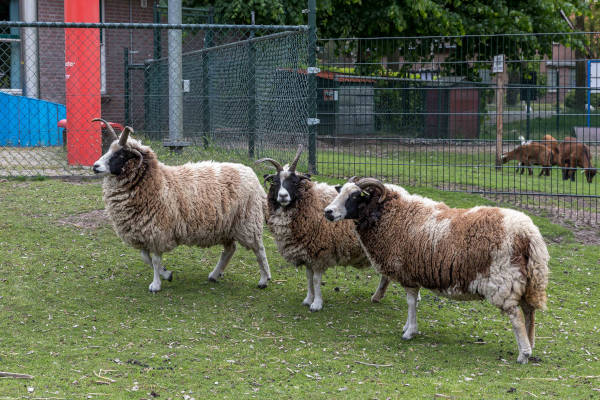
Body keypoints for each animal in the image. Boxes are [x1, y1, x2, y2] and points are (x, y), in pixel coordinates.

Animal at [90, 119, 270, 294]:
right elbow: (146, 259)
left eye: (120, 154)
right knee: (230, 249)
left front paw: (156, 284)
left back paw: (264, 279)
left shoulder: (158, 230)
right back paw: (214, 275)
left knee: (259, 249)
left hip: (248, 221)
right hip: (227, 226)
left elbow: (155, 260)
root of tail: (251, 174)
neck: (157, 181)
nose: (95, 166)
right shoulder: (141, 232)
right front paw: (167, 274)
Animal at [256, 147, 390, 312]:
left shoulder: (320, 252)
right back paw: (377, 296)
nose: (282, 196)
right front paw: (308, 299)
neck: (313, 202)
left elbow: (316, 280)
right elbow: (308, 278)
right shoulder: (306, 253)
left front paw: (316, 304)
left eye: (294, 182)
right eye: (275, 182)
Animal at [326, 177, 552, 364]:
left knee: (516, 317)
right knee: (529, 311)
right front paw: (408, 327)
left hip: (503, 280)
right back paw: (530, 344)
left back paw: (524, 354)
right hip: (527, 280)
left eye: (355, 196)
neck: (392, 214)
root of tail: (528, 233)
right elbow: (412, 302)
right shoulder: (413, 273)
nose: (328, 212)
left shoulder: (408, 273)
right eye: (340, 191)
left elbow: (411, 303)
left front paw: (409, 332)